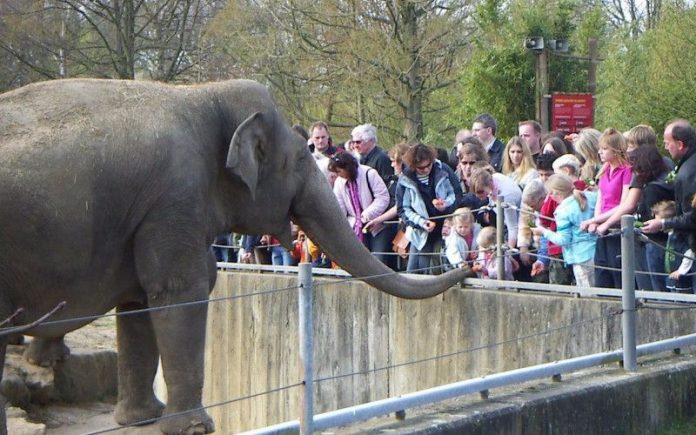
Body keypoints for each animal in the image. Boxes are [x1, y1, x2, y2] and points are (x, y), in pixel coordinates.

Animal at [0, 78, 469, 434]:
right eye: (299, 161)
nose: (466, 269)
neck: (201, 94)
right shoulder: (174, 199)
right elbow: (181, 291)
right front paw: (194, 428)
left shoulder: (148, 213)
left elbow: (139, 303)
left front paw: (143, 419)